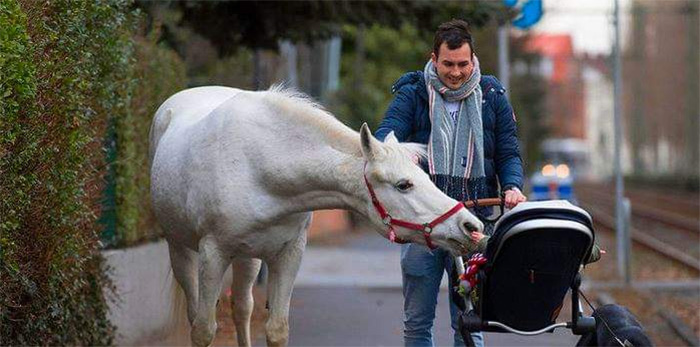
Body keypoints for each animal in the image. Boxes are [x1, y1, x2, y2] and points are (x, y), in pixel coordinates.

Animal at [150, 85, 484, 346]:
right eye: (404, 184)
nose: (471, 226)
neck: (258, 165)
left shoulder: (288, 254)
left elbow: (277, 330)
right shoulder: (213, 253)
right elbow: (203, 331)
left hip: (247, 257)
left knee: (242, 308)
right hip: (181, 250)